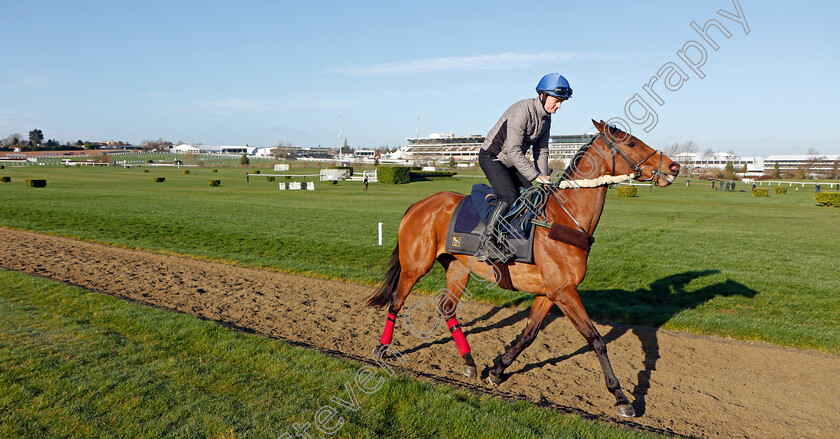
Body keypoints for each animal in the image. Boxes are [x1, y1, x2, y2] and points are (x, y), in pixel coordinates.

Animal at [368, 118, 684, 418]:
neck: (564, 219)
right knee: (396, 302)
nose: (674, 166)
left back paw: (469, 362)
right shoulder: (564, 292)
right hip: (415, 266)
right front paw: (621, 397)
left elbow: (529, 334)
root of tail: (419, 205)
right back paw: (382, 349)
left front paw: (497, 369)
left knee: (447, 308)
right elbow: (596, 339)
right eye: (631, 143)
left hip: (458, 268)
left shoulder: (549, 293)